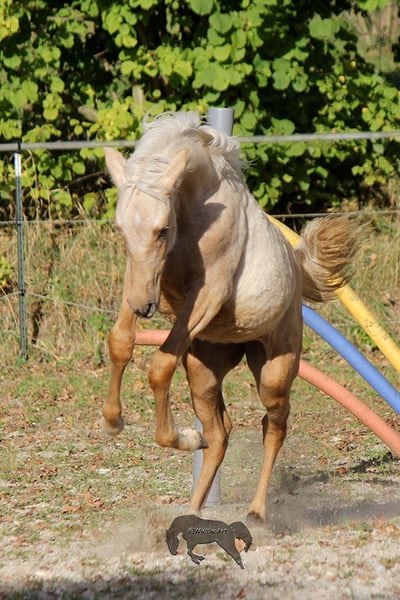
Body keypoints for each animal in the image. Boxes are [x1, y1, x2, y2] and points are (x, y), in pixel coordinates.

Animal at [102, 111, 359, 522]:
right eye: (121, 229)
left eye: (162, 230)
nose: (144, 308)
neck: (194, 209)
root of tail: (297, 268)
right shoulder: (142, 278)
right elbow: (121, 342)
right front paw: (114, 422)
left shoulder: (208, 293)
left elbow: (159, 366)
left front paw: (180, 436)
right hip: (203, 370)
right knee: (221, 433)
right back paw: (193, 507)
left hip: (274, 371)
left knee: (274, 425)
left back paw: (256, 511)